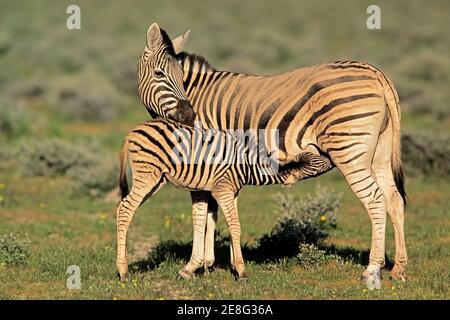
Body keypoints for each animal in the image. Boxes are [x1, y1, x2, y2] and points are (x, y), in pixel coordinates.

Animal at [133, 23, 408, 284]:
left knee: (375, 200)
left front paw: (193, 266)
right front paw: (214, 262)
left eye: (180, 77)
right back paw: (398, 268)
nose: (189, 117)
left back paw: (371, 269)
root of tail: (376, 74)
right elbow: (214, 210)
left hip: (349, 150)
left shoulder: (202, 160)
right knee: (394, 199)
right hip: (379, 154)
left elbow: (201, 212)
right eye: (159, 74)